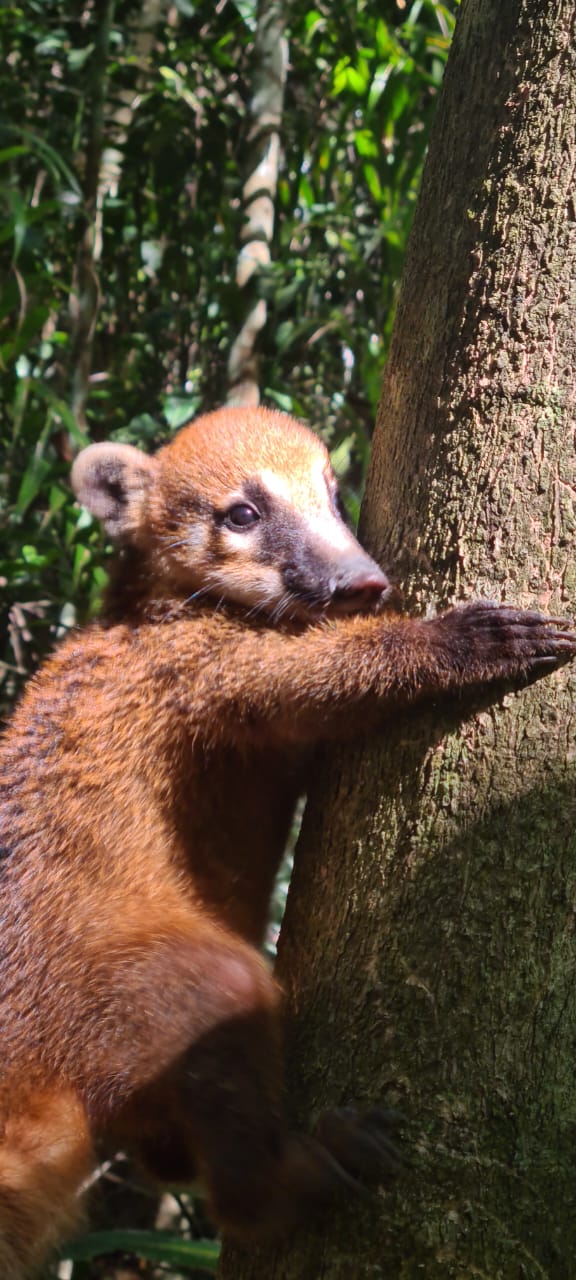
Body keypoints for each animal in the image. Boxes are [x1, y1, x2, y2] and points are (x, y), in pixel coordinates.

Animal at [1, 404, 575, 1277]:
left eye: (335, 495)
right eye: (243, 513)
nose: (364, 583)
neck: (155, 600)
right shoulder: (194, 668)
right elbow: (316, 679)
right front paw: (455, 642)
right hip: (125, 975)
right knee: (222, 1012)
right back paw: (291, 1177)